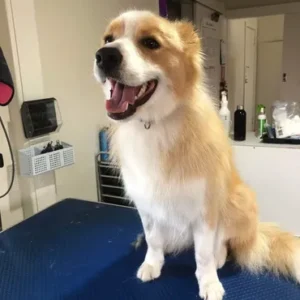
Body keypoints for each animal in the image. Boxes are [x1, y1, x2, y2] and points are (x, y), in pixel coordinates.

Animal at [94, 9, 300, 300]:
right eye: (108, 39)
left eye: (150, 43)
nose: (104, 55)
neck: (155, 124)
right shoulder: (147, 204)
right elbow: (153, 239)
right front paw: (152, 263)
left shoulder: (205, 209)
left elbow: (203, 254)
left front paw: (209, 282)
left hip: (240, 199)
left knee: (223, 241)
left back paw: (220, 256)